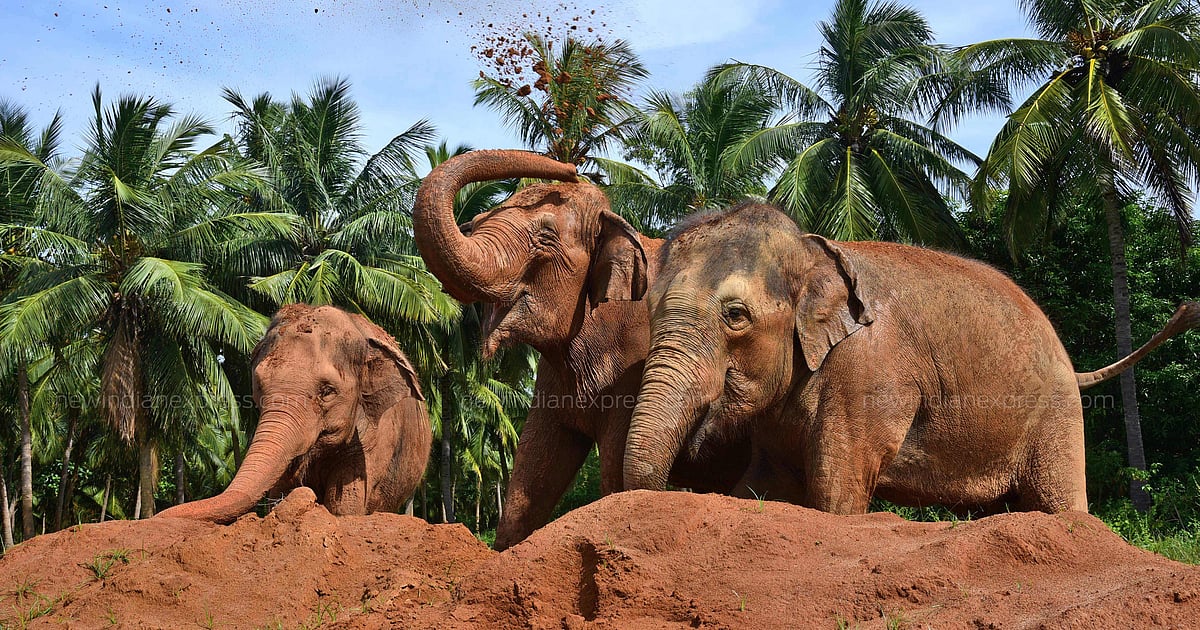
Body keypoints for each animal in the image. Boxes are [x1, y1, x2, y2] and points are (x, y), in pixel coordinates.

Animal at [413, 149, 749, 549]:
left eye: (545, 236)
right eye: (476, 222)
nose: (572, 170)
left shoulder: (637, 361)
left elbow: (615, 459)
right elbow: (535, 462)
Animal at [623, 202, 1199, 515]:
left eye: (736, 316)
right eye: (648, 310)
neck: (814, 248)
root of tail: (1068, 358)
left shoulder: (868, 375)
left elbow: (835, 492)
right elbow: (762, 485)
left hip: (1055, 418)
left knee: (1060, 503)